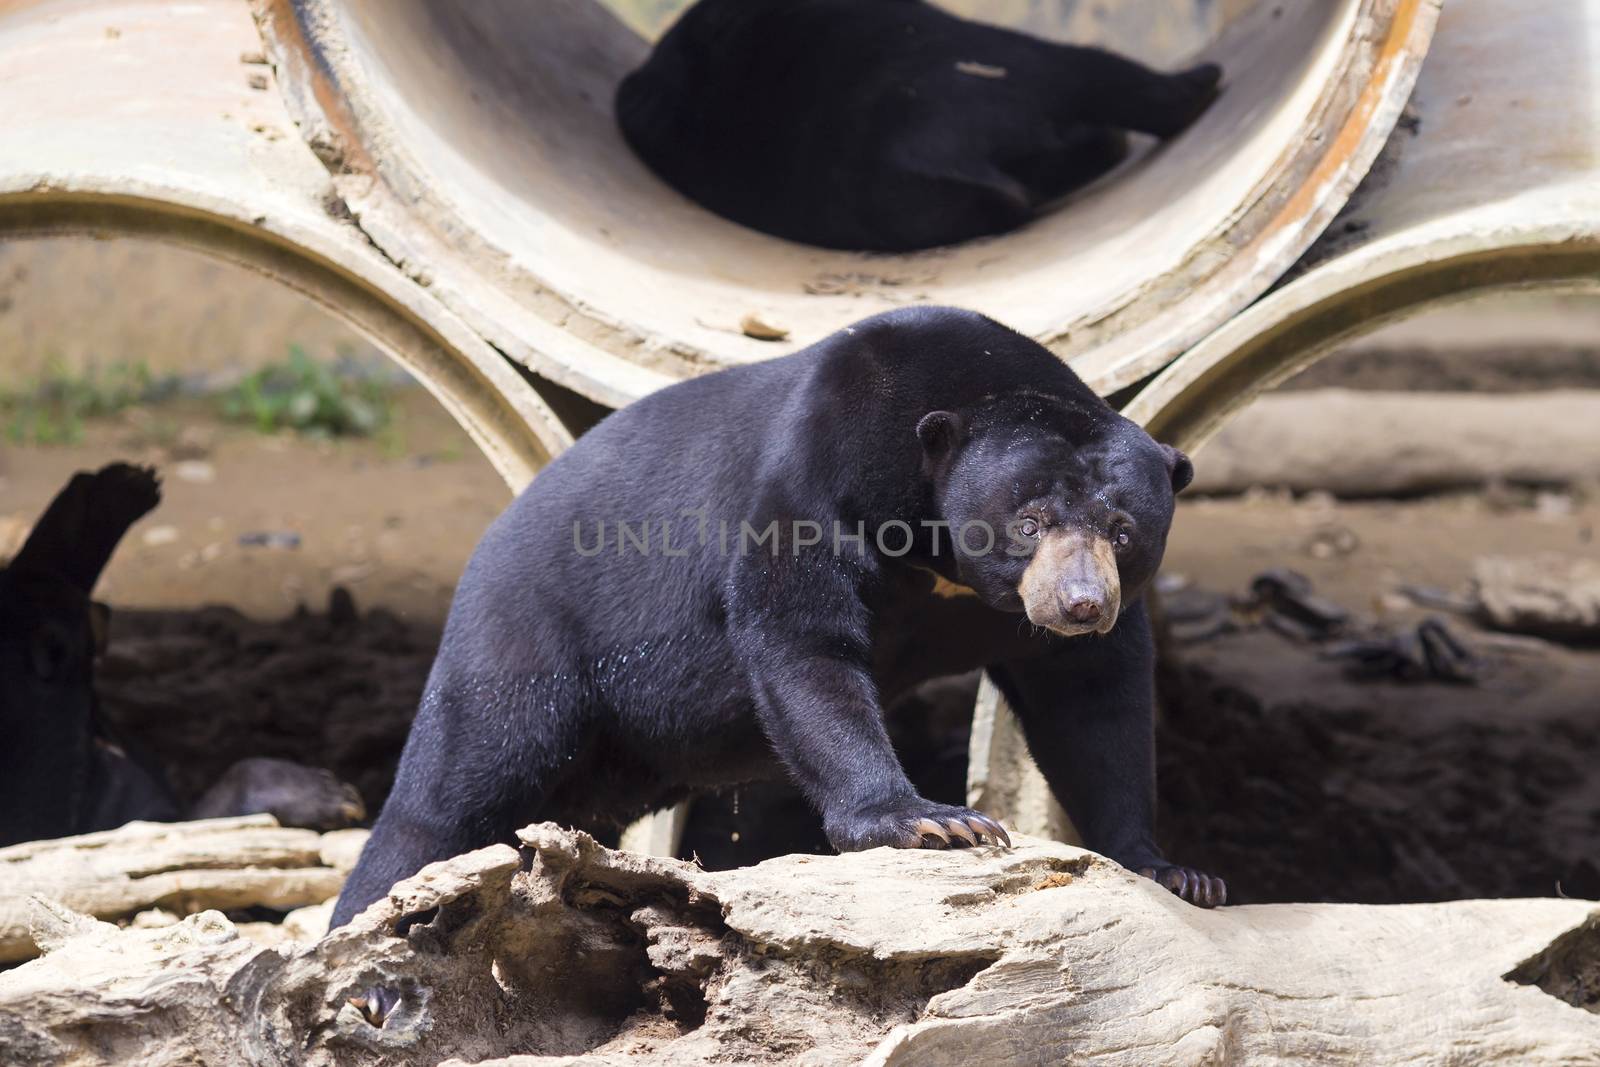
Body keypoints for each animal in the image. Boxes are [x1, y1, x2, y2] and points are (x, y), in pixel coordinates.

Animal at [337, 303, 1228, 947]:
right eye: (1031, 520)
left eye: (1122, 530)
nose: (1080, 604)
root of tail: (486, 543)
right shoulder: (818, 474)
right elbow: (804, 640)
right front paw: (937, 820)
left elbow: (1093, 703)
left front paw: (1177, 871)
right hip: (529, 631)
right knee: (456, 786)